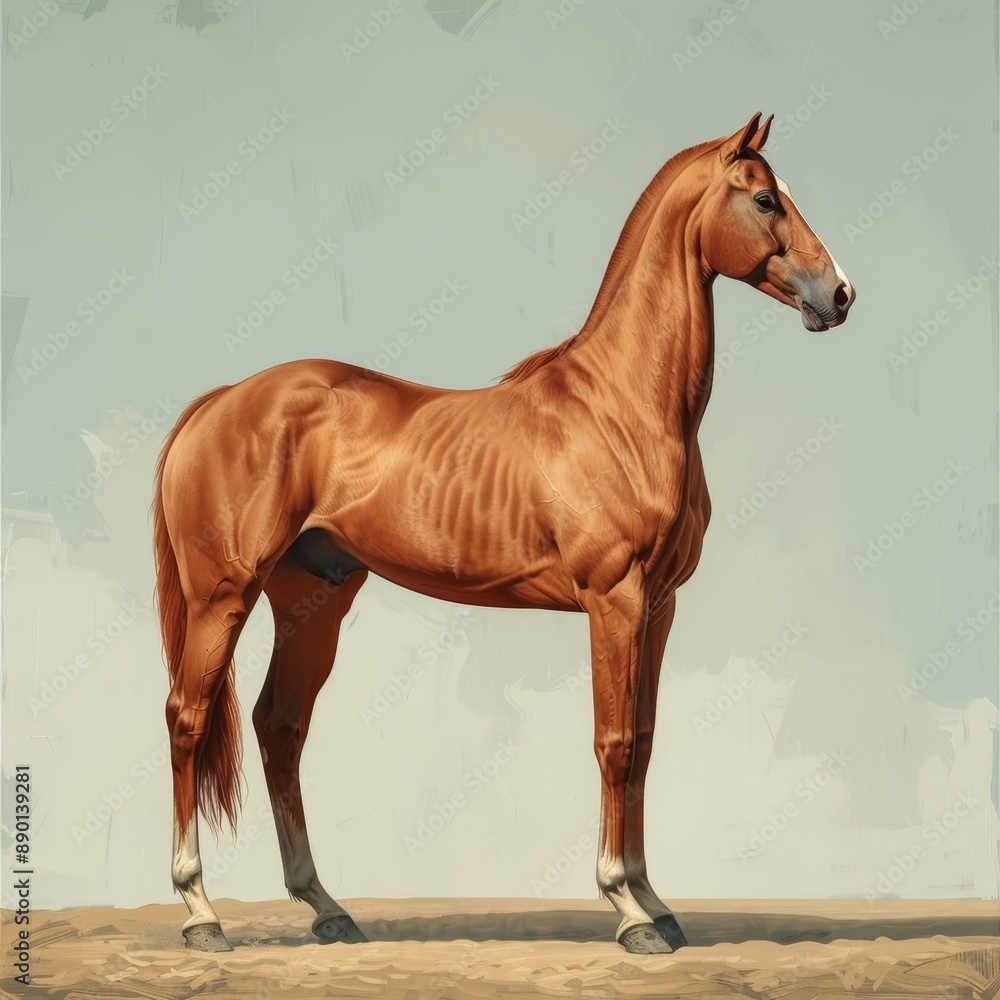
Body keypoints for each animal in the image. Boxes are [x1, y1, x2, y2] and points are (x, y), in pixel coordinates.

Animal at [154, 113, 855, 955]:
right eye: (764, 199)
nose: (840, 293)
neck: (623, 406)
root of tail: (222, 400)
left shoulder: (658, 607)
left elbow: (645, 744)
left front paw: (657, 904)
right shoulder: (614, 600)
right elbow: (614, 743)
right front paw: (627, 910)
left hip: (312, 600)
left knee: (278, 727)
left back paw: (328, 909)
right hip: (223, 595)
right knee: (188, 720)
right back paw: (200, 913)